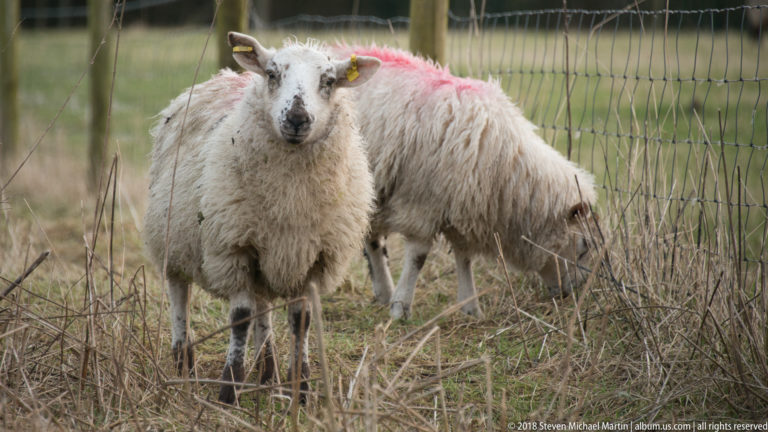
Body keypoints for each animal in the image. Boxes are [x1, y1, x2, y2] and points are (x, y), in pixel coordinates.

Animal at [143, 32, 380, 404]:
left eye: (329, 81)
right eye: (272, 74)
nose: (297, 118)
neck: (290, 198)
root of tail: (224, 76)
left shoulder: (314, 258)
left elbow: (301, 321)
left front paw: (301, 390)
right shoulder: (234, 248)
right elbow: (240, 318)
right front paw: (229, 390)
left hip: (266, 253)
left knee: (262, 306)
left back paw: (267, 371)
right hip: (172, 238)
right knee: (180, 296)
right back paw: (185, 367)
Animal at [331, 44, 599, 320]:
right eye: (584, 246)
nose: (572, 292)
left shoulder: (462, 204)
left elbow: (465, 257)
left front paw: (471, 307)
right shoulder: (422, 203)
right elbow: (418, 257)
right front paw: (401, 307)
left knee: (373, 240)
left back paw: (384, 291)